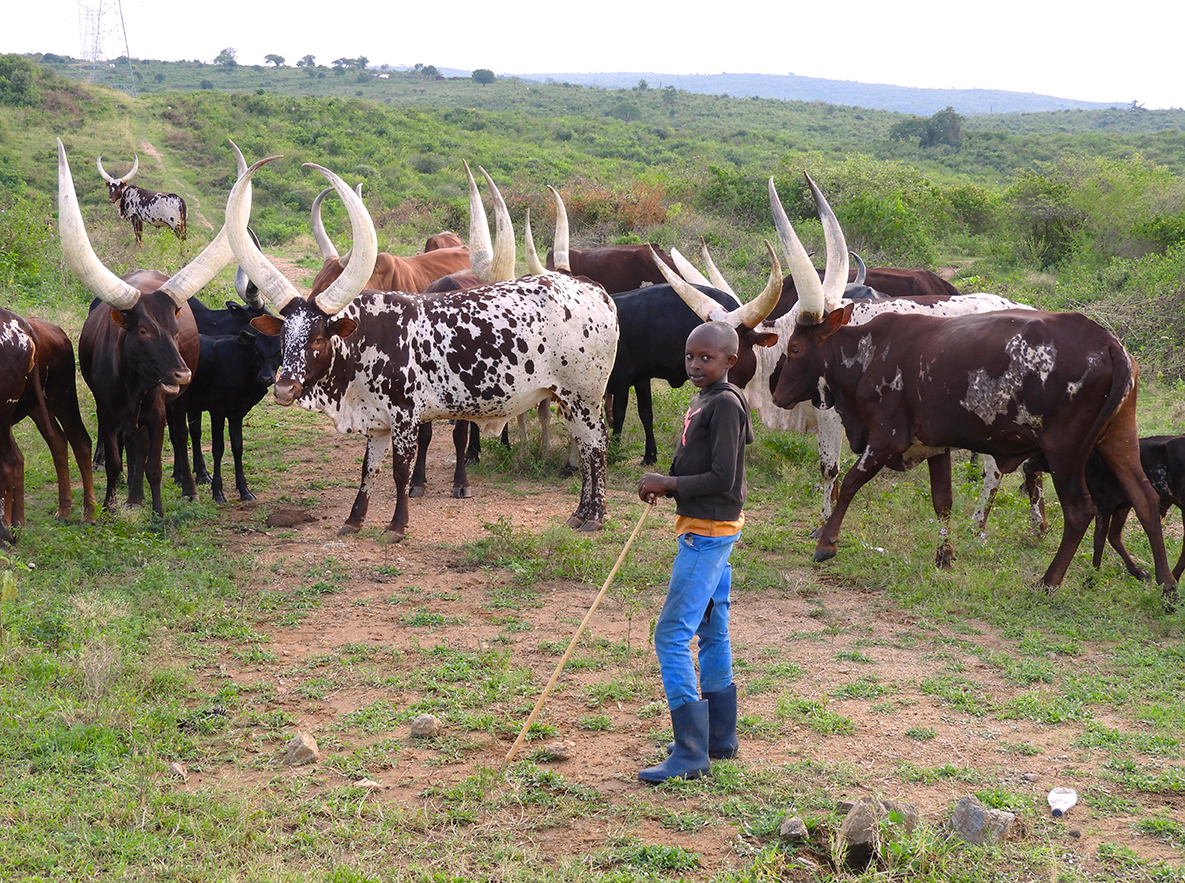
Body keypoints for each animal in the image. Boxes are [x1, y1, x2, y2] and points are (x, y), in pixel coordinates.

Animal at [232, 160, 620, 545]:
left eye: (316, 339)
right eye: (284, 336)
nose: (284, 389)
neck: (369, 337)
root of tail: (592, 289)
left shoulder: (405, 418)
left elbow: (400, 471)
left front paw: (397, 525)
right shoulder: (376, 422)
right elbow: (368, 470)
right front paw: (354, 520)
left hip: (585, 396)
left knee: (596, 445)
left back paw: (595, 517)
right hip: (567, 398)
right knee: (585, 446)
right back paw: (579, 513)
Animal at [767, 171, 1175, 599]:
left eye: (795, 347)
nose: (777, 392)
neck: (869, 351)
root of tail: (1110, 344)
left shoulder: (885, 439)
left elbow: (848, 482)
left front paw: (826, 544)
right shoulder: (935, 445)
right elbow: (942, 500)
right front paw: (944, 556)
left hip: (1065, 450)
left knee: (1080, 510)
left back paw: (1048, 581)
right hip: (1118, 438)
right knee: (1146, 499)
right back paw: (1166, 586)